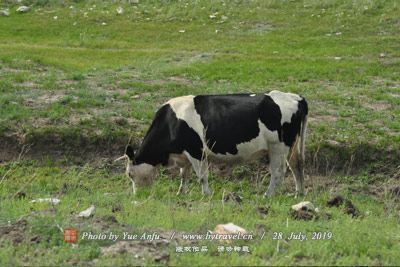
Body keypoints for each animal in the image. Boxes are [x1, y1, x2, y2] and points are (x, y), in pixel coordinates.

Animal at [120, 91, 308, 198]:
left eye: (129, 174)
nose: (137, 196)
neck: (172, 121)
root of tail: (296, 96)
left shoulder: (196, 151)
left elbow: (202, 176)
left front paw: (206, 195)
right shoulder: (185, 155)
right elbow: (184, 175)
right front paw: (181, 193)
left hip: (278, 146)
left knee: (278, 173)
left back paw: (267, 195)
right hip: (292, 146)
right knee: (297, 166)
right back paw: (298, 193)